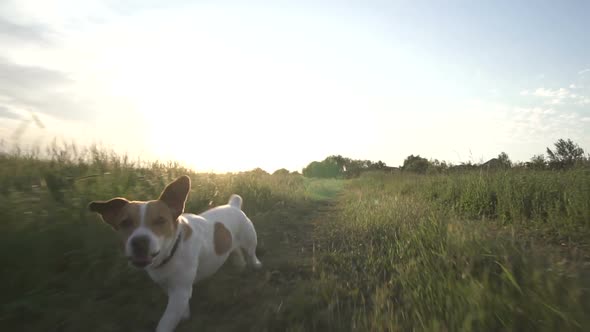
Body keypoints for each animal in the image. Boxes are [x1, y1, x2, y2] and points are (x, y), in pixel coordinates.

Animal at [88, 175, 264, 330]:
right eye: (125, 223)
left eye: (160, 220)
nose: (139, 242)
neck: (173, 251)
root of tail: (233, 205)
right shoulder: (169, 287)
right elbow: (179, 309)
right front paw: (184, 316)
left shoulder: (180, 291)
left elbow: (165, 323)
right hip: (231, 244)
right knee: (236, 252)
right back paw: (239, 266)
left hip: (250, 240)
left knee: (251, 253)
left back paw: (255, 265)